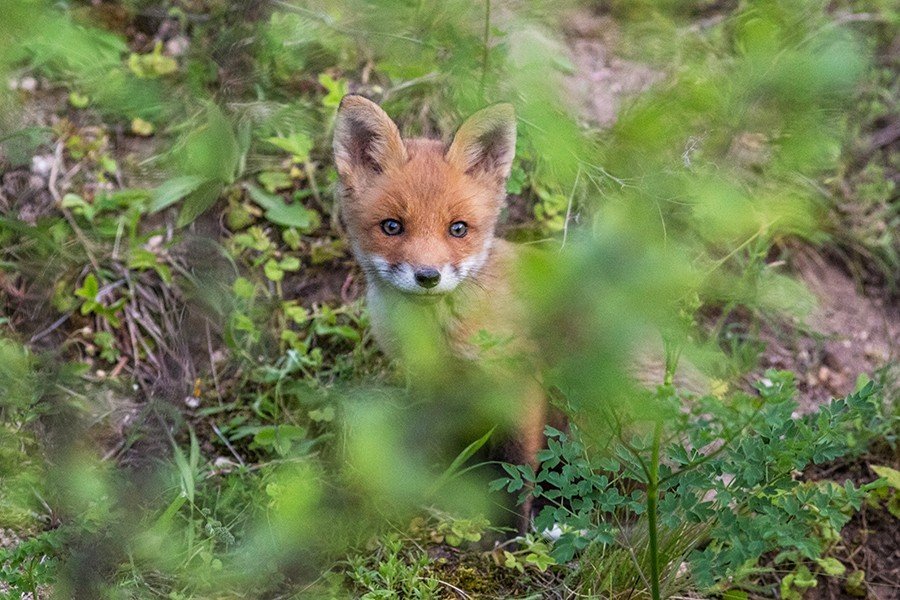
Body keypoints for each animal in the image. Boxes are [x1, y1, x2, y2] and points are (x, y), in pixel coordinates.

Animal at [328, 96, 540, 516]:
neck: (438, 338)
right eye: (392, 226)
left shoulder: (520, 385)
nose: (427, 276)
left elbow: (518, 469)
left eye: (458, 229)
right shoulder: (432, 384)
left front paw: (513, 529)